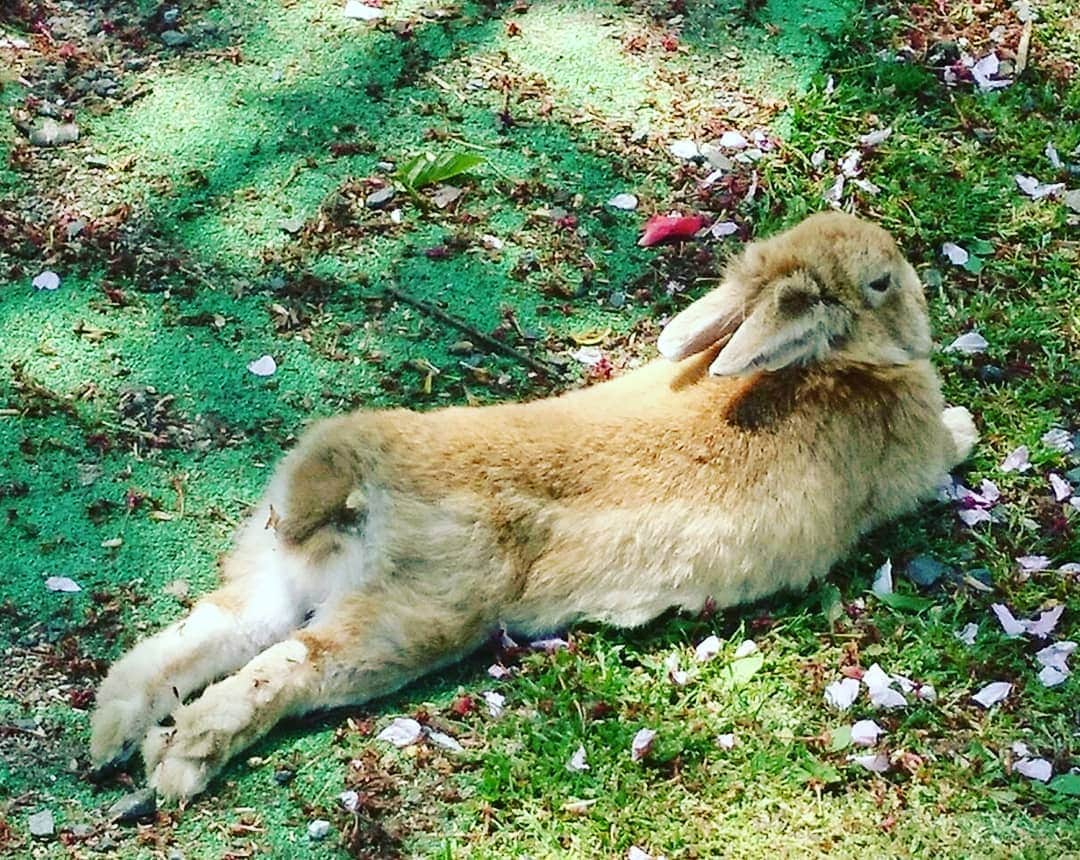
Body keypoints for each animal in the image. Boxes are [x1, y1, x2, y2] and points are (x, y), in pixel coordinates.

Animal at [90, 212, 980, 799]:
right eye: (881, 281)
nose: (919, 304)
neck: (836, 366)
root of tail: (357, 475)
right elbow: (946, 452)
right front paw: (967, 427)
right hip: (406, 619)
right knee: (281, 669)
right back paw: (179, 763)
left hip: (280, 569)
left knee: (206, 633)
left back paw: (110, 732)